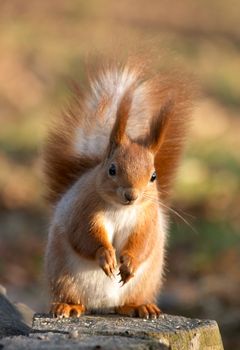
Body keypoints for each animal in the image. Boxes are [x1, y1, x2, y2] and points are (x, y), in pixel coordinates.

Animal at [42, 56, 193, 318]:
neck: (122, 209)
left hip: (144, 283)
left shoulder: (147, 219)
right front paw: (106, 256)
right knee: (72, 297)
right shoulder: (83, 211)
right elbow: (85, 236)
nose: (131, 195)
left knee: (128, 302)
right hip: (64, 277)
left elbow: (143, 242)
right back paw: (67, 306)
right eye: (112, 170)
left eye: (153, 176)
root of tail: (102, 305)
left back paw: (140, 306)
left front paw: (129, 262)